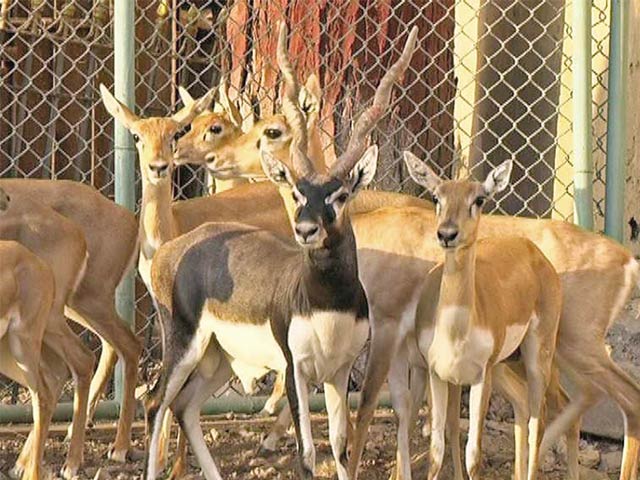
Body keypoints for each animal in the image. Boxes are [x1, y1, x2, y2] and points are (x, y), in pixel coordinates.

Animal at [142, 23, 420, 480]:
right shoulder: (296, 370)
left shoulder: (338, 371)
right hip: (183, 344)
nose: (306, 230)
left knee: (186, 408)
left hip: (219, 357)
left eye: (340, 195)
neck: (327, 302)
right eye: (297, 192)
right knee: (155, 404)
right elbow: (306, 453)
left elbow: (341, 446)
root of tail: (172, 248)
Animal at [408, 159, 564, 478]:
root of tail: (534, 252)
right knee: (522, 406)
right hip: (503, 366)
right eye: (436, 197)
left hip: (536, 356)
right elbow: (437, 450)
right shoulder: (438, 374)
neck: (455, 333)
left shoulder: (481, 376)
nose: (447, 234)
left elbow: (474, 454)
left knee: (538, 418)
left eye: (479, 199)